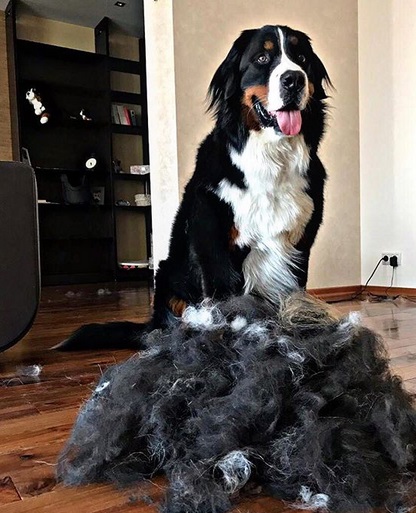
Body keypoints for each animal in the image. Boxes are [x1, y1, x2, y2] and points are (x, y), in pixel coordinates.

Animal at [57, 26, 332, 350]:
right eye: (262, 58)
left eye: (301, 58)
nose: (294, 79)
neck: (271, 163)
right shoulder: (211, 238)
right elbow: (225, 300)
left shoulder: (299, 243)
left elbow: (292, 298)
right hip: (167, 272)